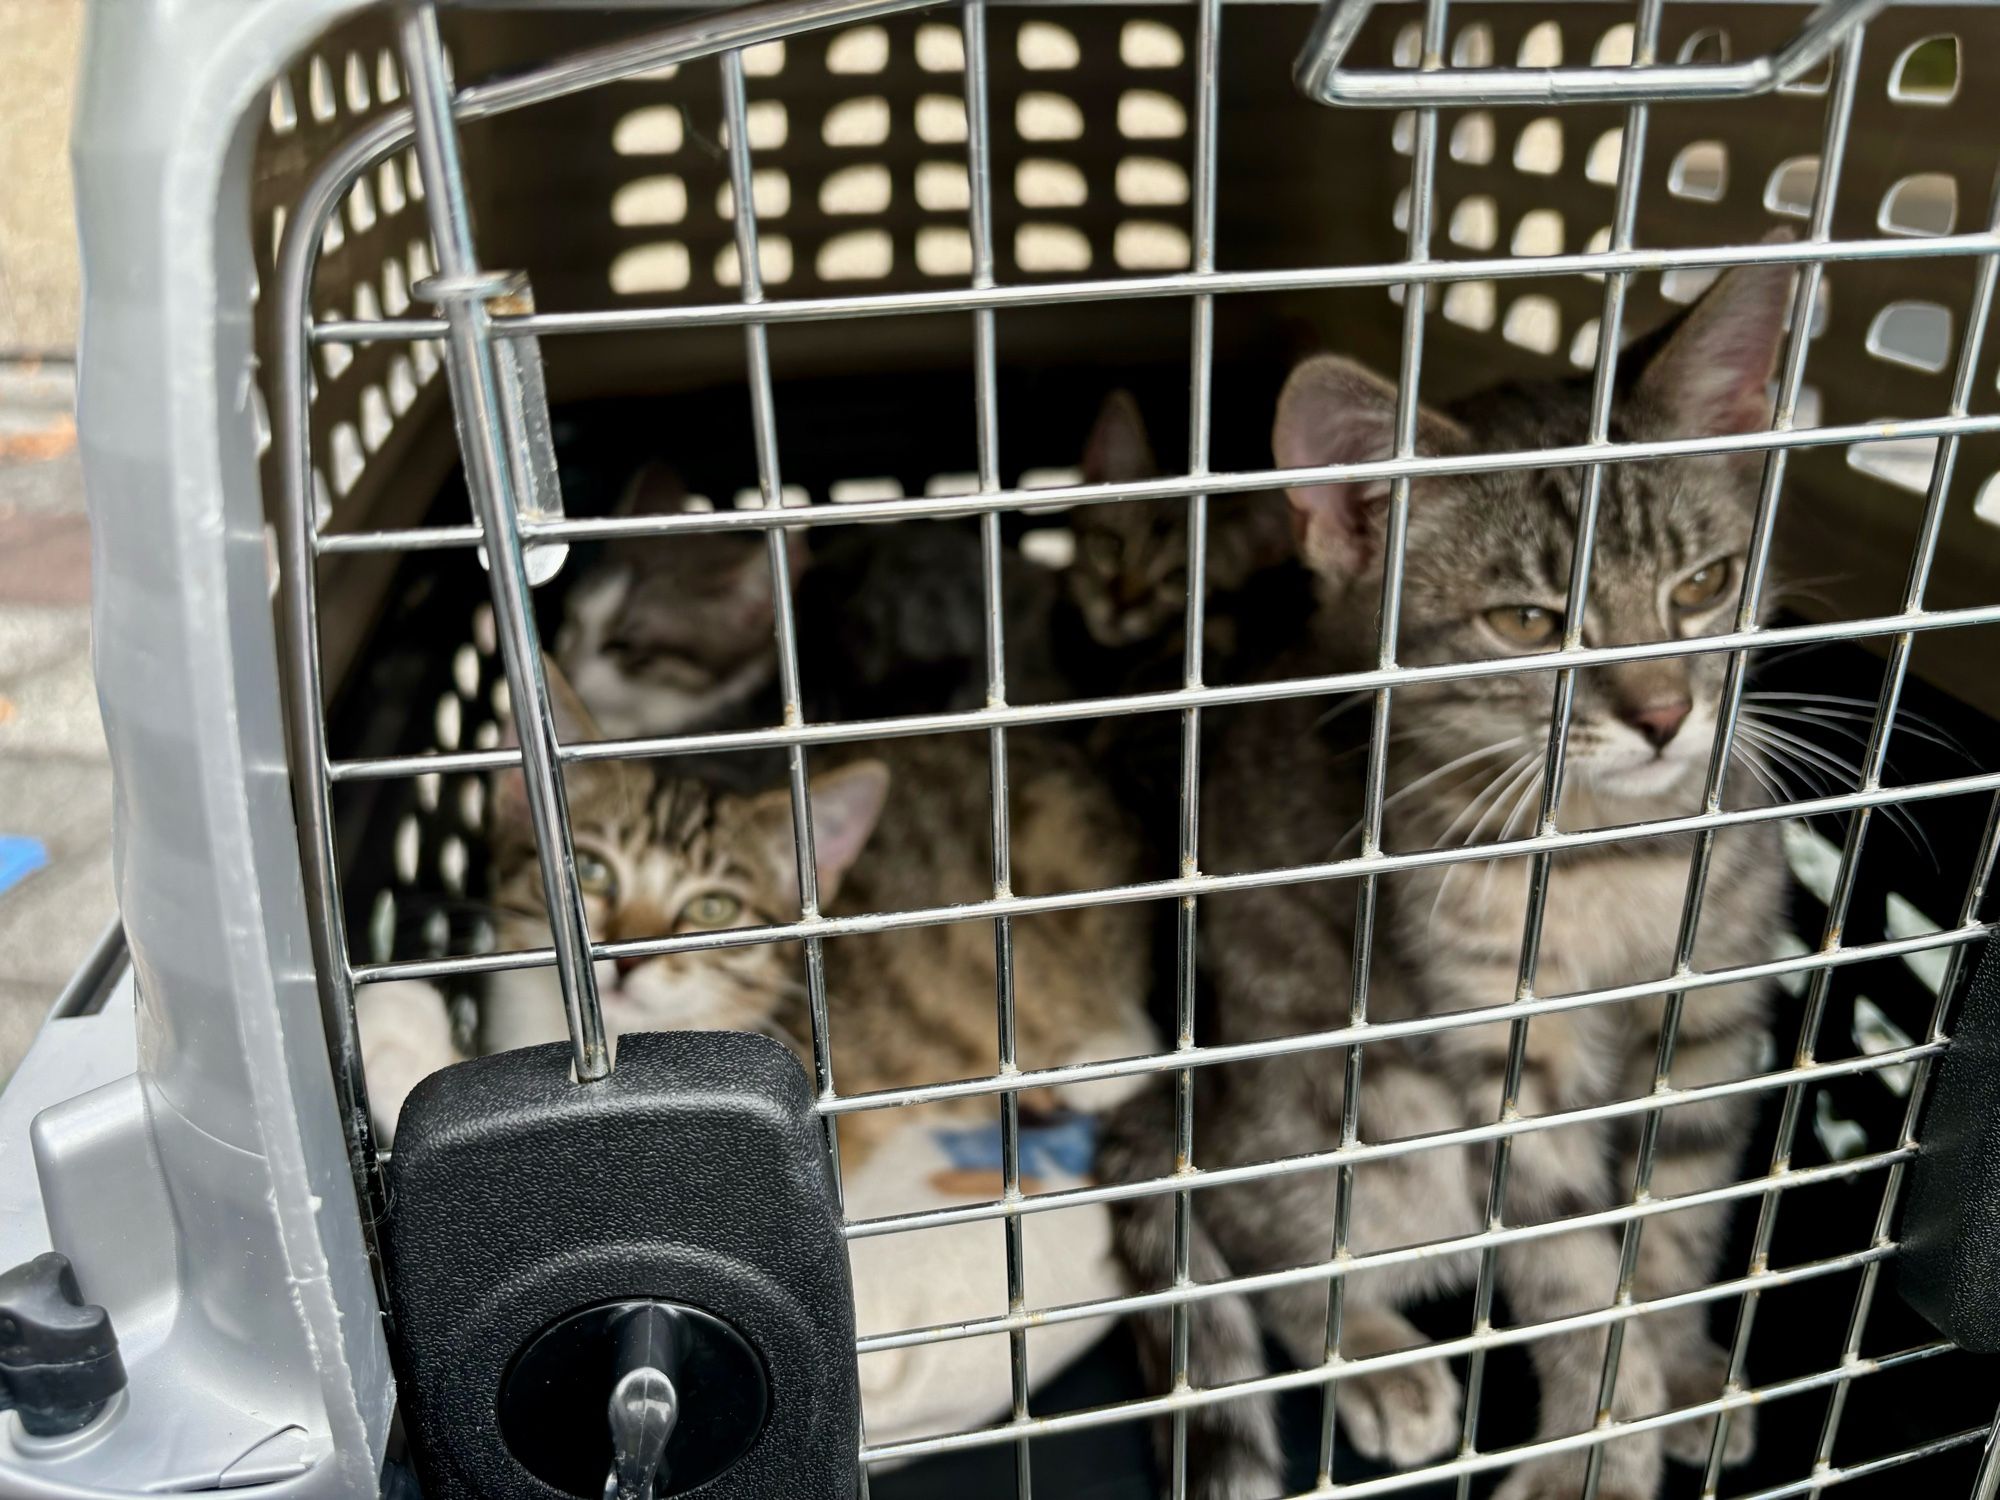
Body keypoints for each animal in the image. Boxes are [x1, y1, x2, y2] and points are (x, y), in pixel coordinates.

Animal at [1104, 262, 1808, 1500]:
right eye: (1524, 623)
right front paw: (1594, 1448)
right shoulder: (1497, 1045)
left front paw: (1678, 1363)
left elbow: (1673, 1218)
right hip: (1350, 1116)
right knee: (1257, 1233)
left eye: (1703, 584)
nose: (1664, 714)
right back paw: (1377, 1359)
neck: (1608, 854)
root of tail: (1189, 1096)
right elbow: (1566, 1260)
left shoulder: (1710, 1014)